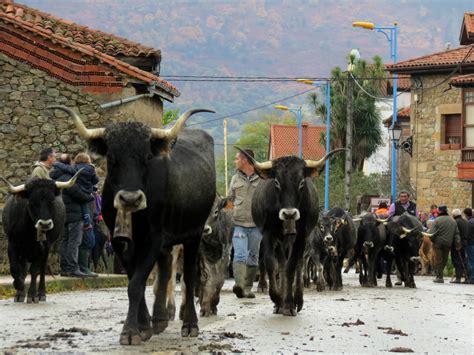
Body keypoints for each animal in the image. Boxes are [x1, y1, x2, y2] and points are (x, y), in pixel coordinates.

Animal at [46, 105, 215, 344]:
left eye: (147, 157)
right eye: (111, 156)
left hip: (194, 234)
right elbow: (133, 281)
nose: (130, 199)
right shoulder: (120, 243)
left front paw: (130, 331)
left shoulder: (153, 238)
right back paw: (160, 319)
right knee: (165, 270)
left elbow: (136, 284)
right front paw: (143, 326)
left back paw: (190, 324)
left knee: (189, 278)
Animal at [241, 147, 348, 318]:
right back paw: (280, 303)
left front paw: (290, 303)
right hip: (281, 242)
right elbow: (271, 265)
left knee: (297, 264)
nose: (289, 213)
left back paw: (297, 299)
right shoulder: (268, 235)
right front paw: (277, 299)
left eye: (301, 182)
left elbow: (292, 266)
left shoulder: (301, 236)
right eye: (276, 182)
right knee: (281, 265)